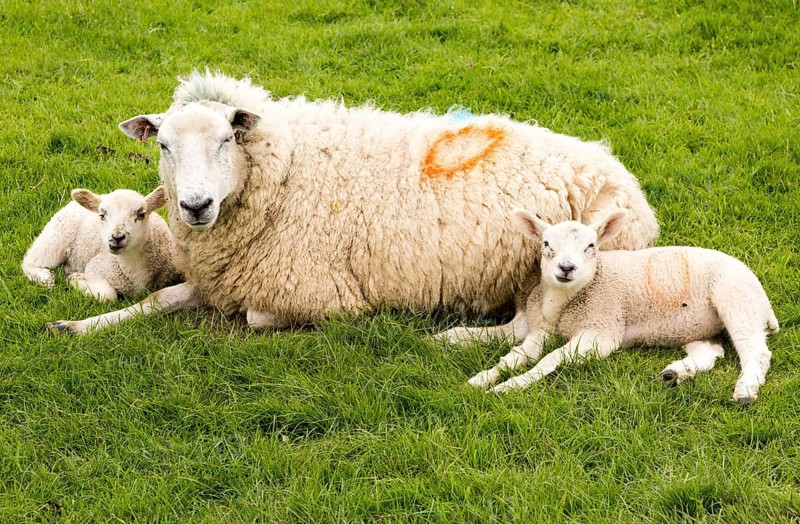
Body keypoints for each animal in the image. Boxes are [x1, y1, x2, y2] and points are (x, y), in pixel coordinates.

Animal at [23, 186, 179, 301]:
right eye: (102, 216)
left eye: (141, 215)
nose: (116, 237)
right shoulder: (96, 267)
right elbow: (108, 295)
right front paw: (76, 279)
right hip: (56, 237)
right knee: (31, 260)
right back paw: (44, 278)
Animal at [46, 70, 658, 335]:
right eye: (164, 146)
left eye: (226, 139)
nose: (196, 206)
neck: (284, 173)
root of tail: (618, 171)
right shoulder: (224, 278)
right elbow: (160, 299)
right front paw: (79, 325)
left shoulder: (318, 293)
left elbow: (255, 318)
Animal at [464, 209, 778, 405]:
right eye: (546, 243)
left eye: (591, 246)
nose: (566, 268)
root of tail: (764, 298)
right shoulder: (540, 329)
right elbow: (515, 356)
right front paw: (482, 379)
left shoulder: (602, 331)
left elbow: (549, 360)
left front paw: (509, 386)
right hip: (698, 326)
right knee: (709, 352)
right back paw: (677, 373)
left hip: (737, 299)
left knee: (755, 350)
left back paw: (746, 391)